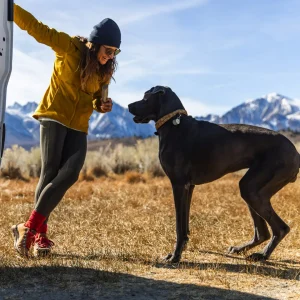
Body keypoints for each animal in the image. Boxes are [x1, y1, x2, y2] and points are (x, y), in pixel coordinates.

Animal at [127, 86, 298, 262]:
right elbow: (185, 224)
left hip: (255, 189)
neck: (174, 124)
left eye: (146, 98)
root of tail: (295, 151)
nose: (128, 105)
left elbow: (179, 226)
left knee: (281, 228)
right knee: (262, 233)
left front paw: (175, 256)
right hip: (252, 189)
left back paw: (263, 255)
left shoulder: (179, 184)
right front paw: (183, 247)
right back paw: (241, 249)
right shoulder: (189, 186)